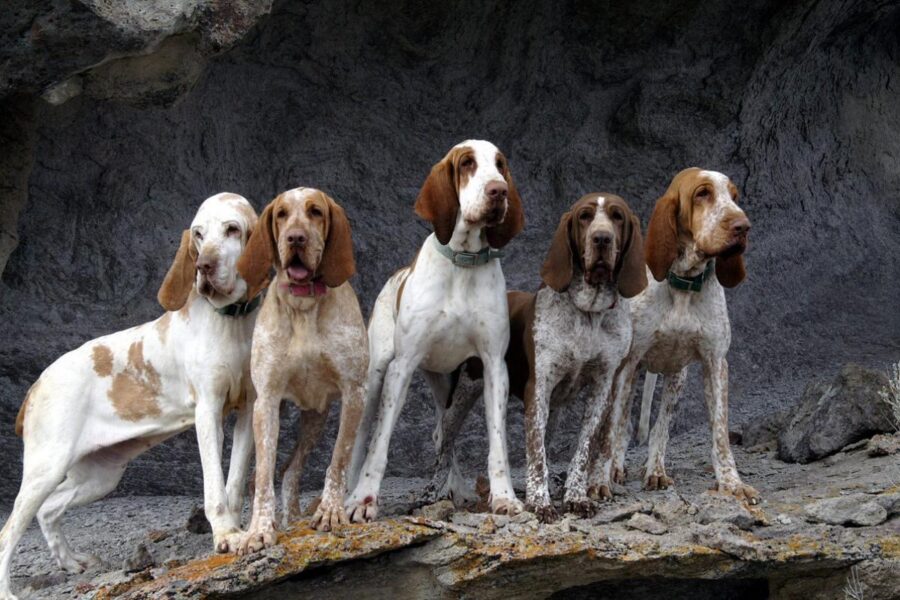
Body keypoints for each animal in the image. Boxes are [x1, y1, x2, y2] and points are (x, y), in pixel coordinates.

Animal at [0, 193, 260, 600]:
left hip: (100, 475)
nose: (203, 267)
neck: (231, 322)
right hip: (46, 467)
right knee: (9, 531)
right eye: (198, 234)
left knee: (48, 510)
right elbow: (215, 489)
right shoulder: (208, 413)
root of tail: (37, 384)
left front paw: (237, 532)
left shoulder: (247, 410)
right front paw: (224, 534)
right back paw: (9, 589)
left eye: (232, 229)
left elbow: (232, 485)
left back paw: (72, 563)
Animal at [236, 186, 370, 552]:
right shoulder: (267, 401)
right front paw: (258, 529)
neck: (304, 303)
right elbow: (264, 476)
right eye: (281, 214)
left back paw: (294, 517)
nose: (296, 238)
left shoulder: (354, 393)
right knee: (262, 477)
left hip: (316, 417)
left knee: (291, 471)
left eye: (315, 212)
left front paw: (330, 511)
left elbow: (338, 461)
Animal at [346, 138, 528, 516]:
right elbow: (378, 445)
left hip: (450, 383)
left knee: (443, 435)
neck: (462, 262)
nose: (498, 191)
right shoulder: (401, 368)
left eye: (500, 165)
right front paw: (364, 499)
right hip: (376, 375)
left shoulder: (493, 367)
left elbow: (497, 445)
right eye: (467, 163)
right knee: (362, 438)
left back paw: (454, 488)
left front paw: (504, 496)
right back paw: (347, 494)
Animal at [436, 193, 648, 520]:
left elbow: (582, 450)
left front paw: (575, 497)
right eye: (585, 216)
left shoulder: (601, 387)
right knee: (441, 438)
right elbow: (536, 455)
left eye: (617, 217)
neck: (588, 313)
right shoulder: (539, 388)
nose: (602, 238)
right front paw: (540, 502)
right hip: (464, 392)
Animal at [596, 168, 756, 502]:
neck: (684, 282)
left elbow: (719, 434)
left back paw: (655, 470)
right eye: (702, 193)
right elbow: (613, 429)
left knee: (660, 427)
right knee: (621, 426)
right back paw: (616, 467)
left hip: (676, 379)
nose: (743, 226)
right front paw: (601, 480)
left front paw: (731, 483)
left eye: (734, 196)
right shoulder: (627, 365)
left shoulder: (715, 363)